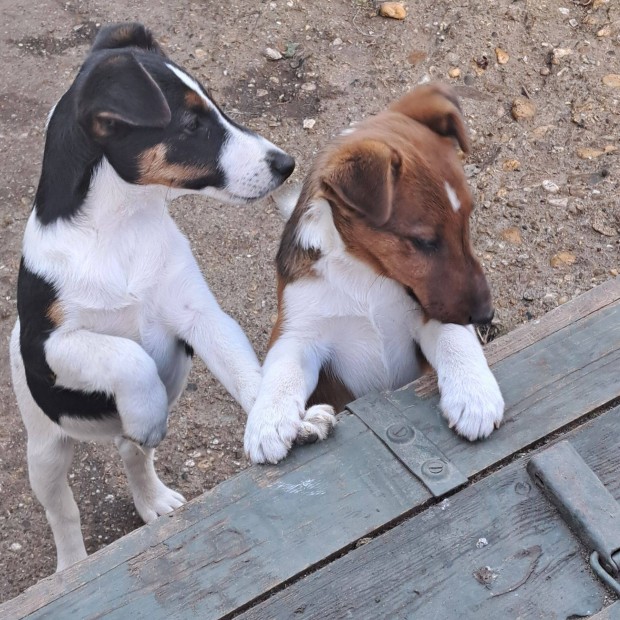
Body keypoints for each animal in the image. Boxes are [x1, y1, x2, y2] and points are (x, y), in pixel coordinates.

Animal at [9, 24, 296, 572]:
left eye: (215, 106)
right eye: (191, 124)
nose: (286, 164)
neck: (121, 228)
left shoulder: (202, 316)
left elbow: (245, 371)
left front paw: (277, 422)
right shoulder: (49, 346)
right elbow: (128, 354)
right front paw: (145, 408)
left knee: (133, 454)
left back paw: (153, 497)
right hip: (44, 447)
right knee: (64, 512)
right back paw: (73, 569)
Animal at [243, 83, 504, 464]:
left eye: (467, 219)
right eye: (424, 241)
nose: (486, 315)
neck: (365, 274)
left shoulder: (428, 312)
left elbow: (455, 339)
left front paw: (475, 396)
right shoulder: (297, 331)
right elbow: (281, 373)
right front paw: (267, 423)